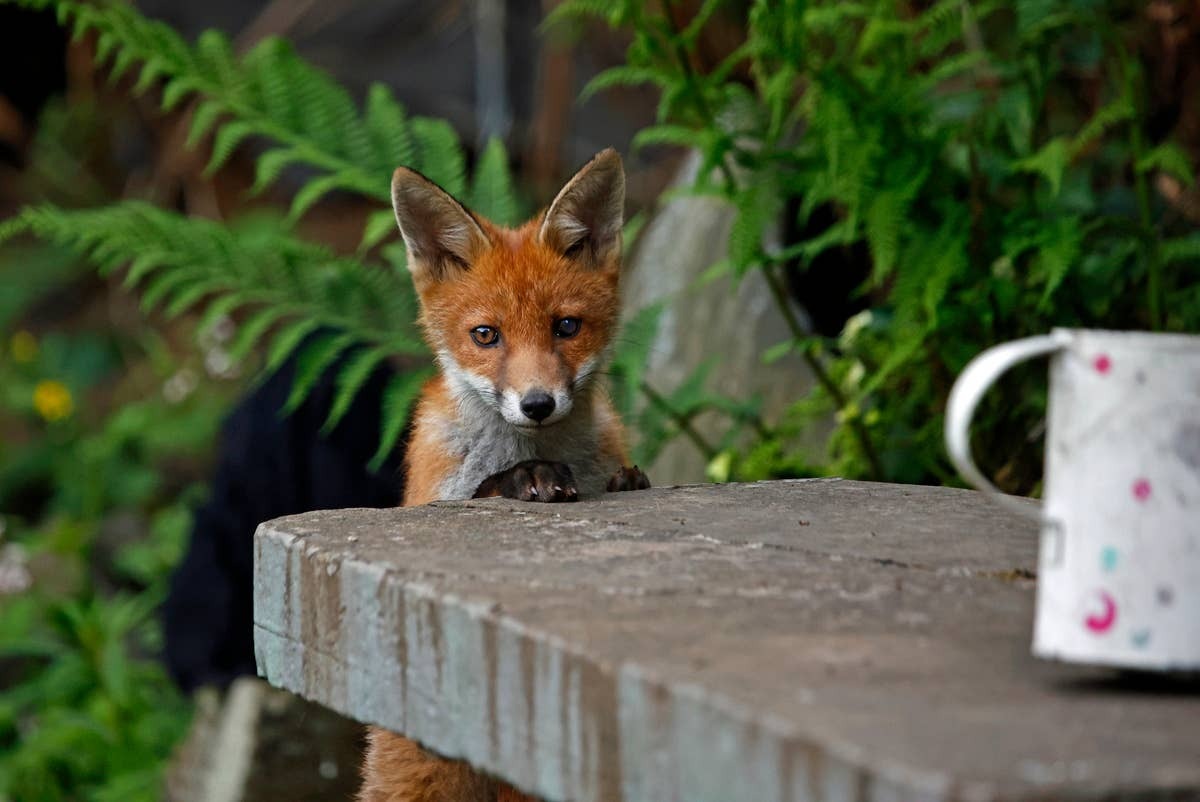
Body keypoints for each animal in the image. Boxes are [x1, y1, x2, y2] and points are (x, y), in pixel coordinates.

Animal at [357, 148, 651, 802]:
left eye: (566, 327)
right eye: (485, 335)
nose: (537, 404)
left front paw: (624, 481)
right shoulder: (433, 495)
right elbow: (484, 489)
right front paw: (526, 480)